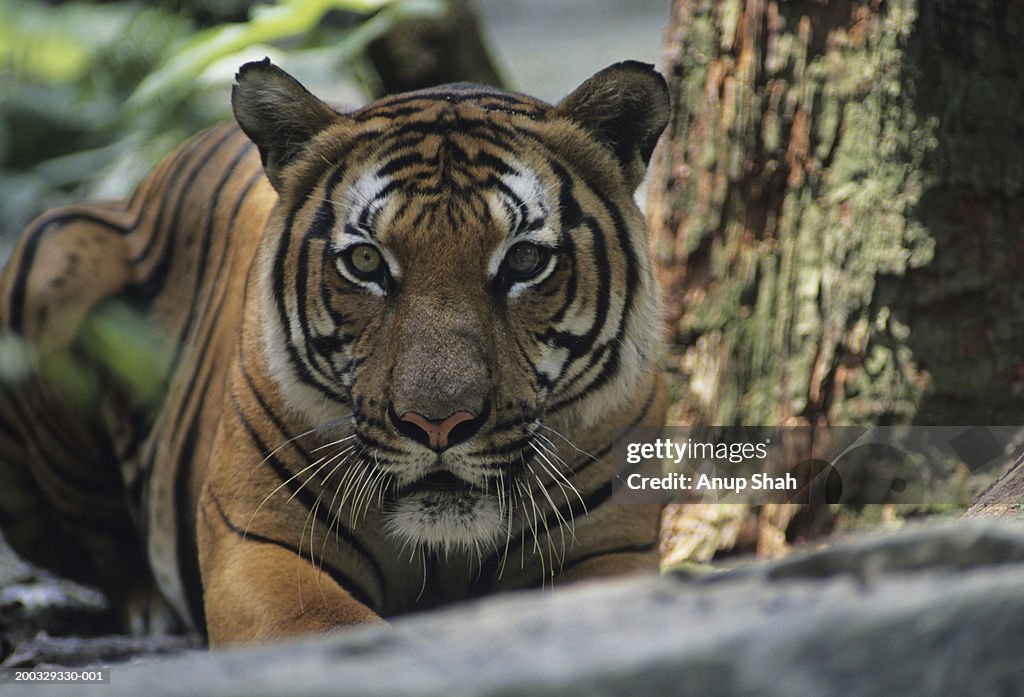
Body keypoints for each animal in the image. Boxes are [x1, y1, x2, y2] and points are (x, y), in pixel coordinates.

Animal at [0, 57, 671, 642]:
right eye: (367, 262)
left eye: (525, 260)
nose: (438, 426)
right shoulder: (262, 549)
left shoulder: (614, 552)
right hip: (51, 249)